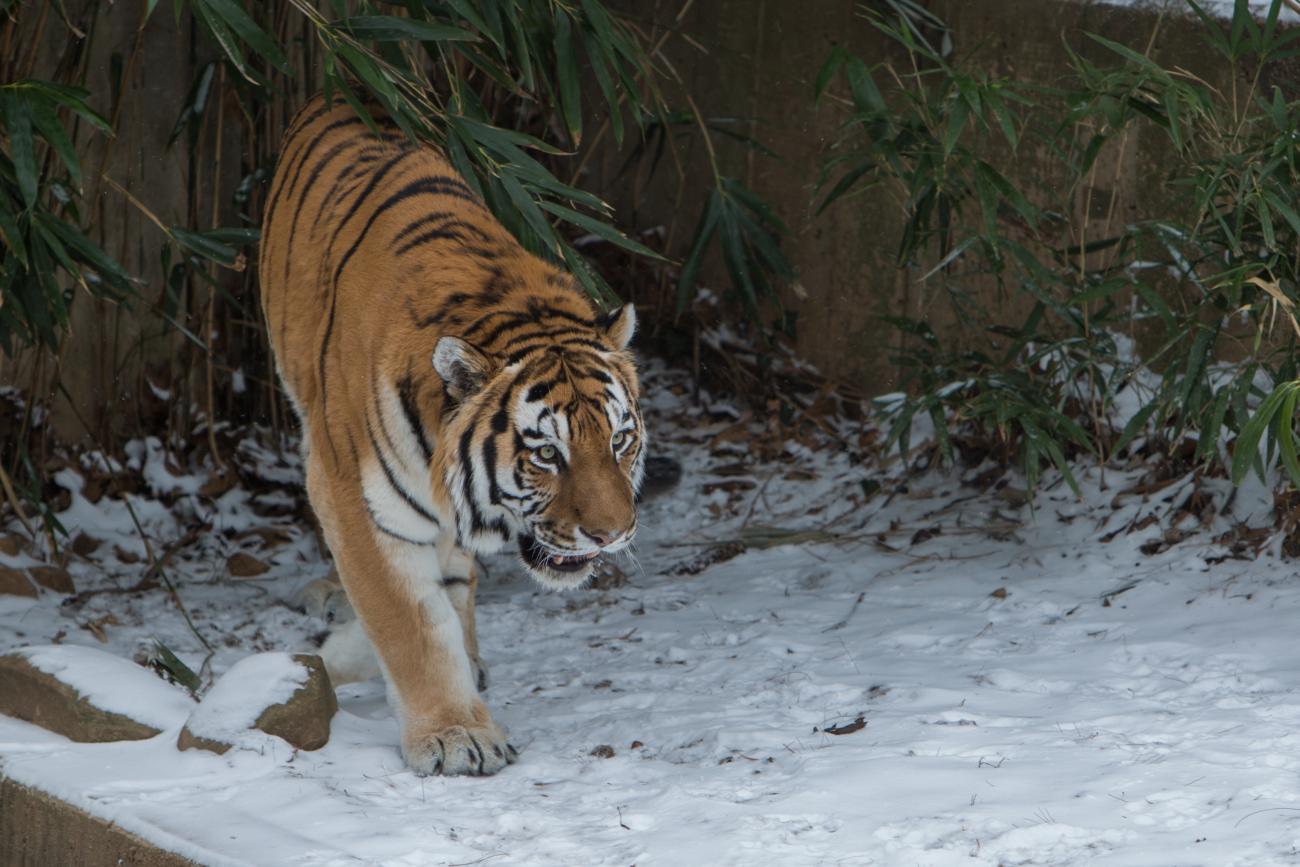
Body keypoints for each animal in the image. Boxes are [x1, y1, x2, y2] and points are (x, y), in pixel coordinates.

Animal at [256, 96, 642, 779]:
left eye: (620, 442)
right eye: (547, 454)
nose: (611, 535)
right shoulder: (353, 498)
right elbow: (410, 622)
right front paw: (455, 737)